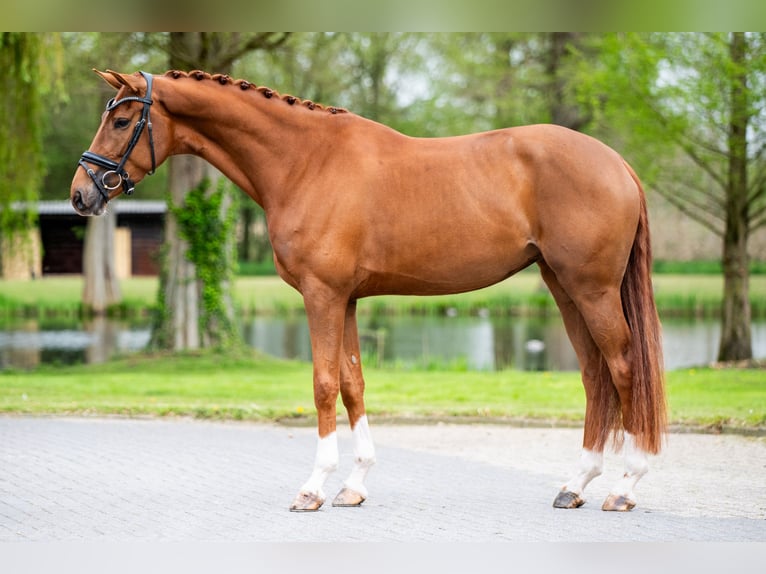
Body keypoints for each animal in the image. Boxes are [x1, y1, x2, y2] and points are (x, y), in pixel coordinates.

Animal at [70, 69, 666, 513]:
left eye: (121, 120)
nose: (80, 195)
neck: (305, 161)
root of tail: (616, 162)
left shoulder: (322, 296)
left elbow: (322, 385)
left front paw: (313, 487)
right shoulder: (348, 299)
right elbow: (353, 383)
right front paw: (354, 486)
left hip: (592, 290)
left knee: (622, 369)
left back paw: (624, 487)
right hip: (563, 288)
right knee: (594, 377)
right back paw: (575, 485)